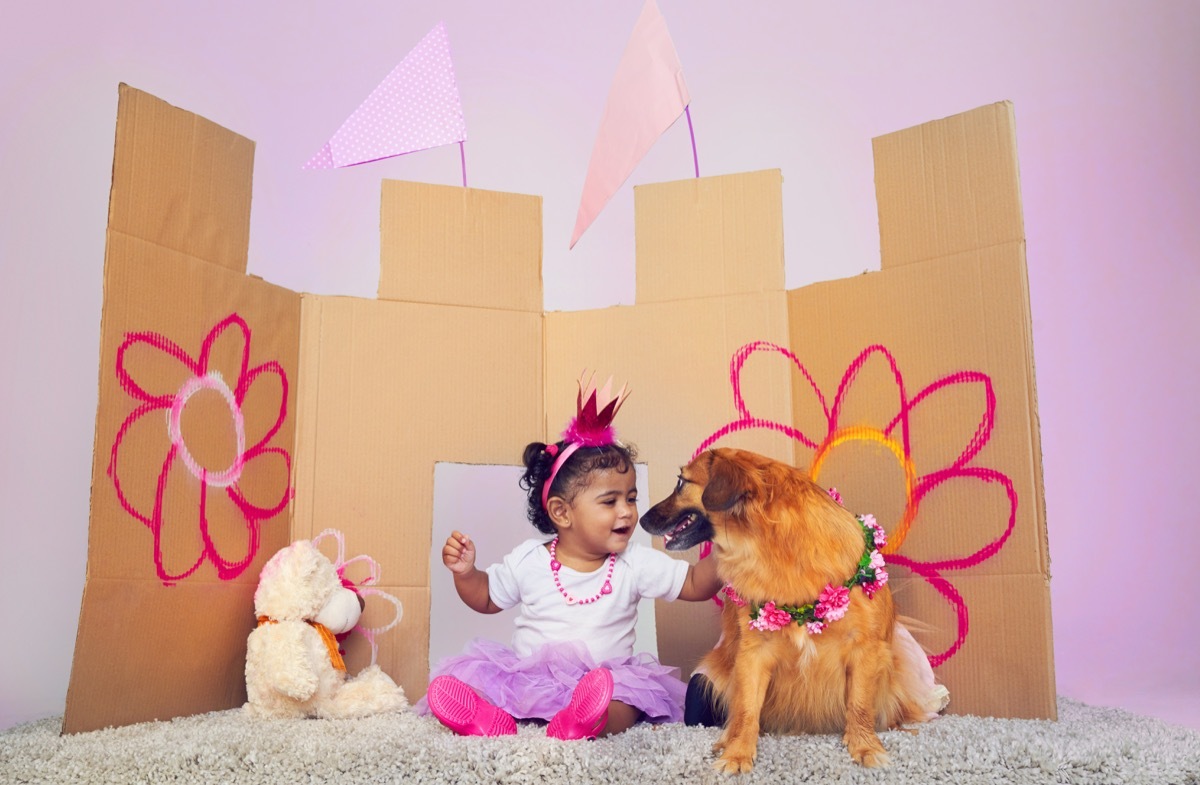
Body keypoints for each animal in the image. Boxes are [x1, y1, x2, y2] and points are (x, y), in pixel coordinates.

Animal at [643, 448, 940, 772]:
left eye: (681, 482)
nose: (642, 519)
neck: (771, 546)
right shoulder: (753, 654)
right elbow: (746, 710)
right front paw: (737, 753)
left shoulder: (864, 649)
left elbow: (859, 705)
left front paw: (865, 746)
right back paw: (726, 739)